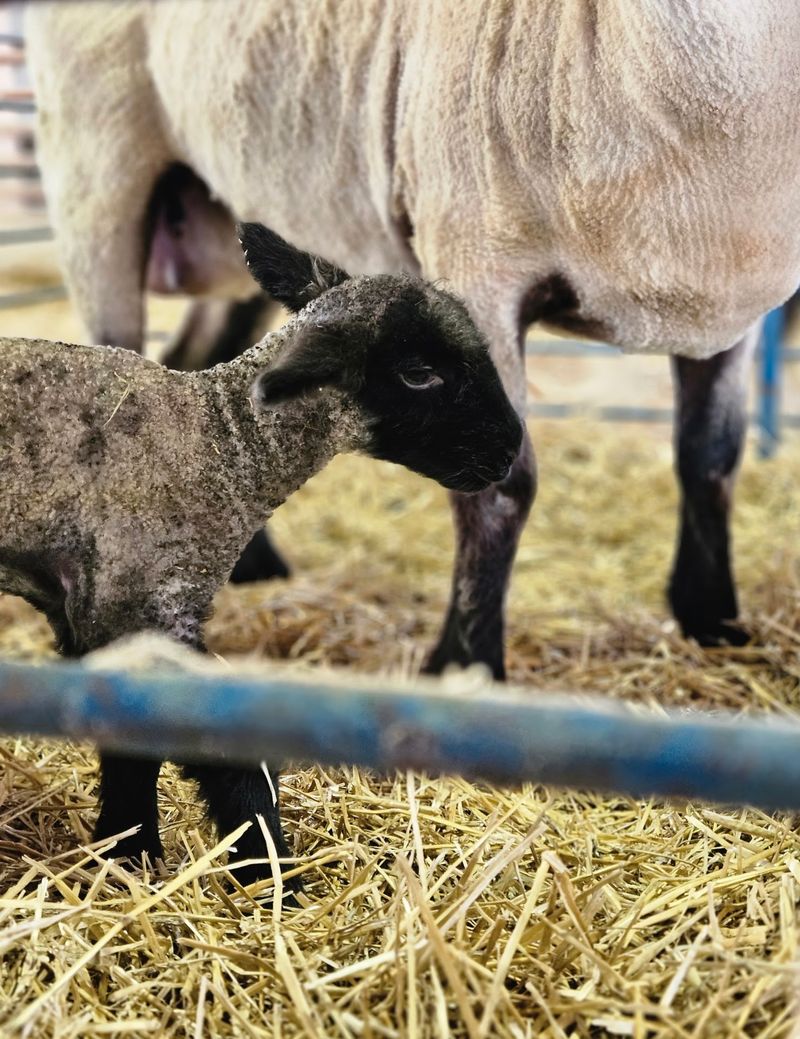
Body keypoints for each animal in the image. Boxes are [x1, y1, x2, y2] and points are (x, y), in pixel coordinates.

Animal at [0, 223, 523, 882]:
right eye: (419, 372)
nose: (512, 447)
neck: (223, 446)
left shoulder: (94, 609)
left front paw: (128, 853)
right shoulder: (139, 601)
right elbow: (189, 740)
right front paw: (239, 869)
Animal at [25, 1, 800, 674]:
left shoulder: (726, 309)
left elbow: (711, 458)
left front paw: (714, 621)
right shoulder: (479, 260)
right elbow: (502, 485)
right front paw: (466, 663)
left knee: (207, 368)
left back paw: (251, 564)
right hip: (98, 178)